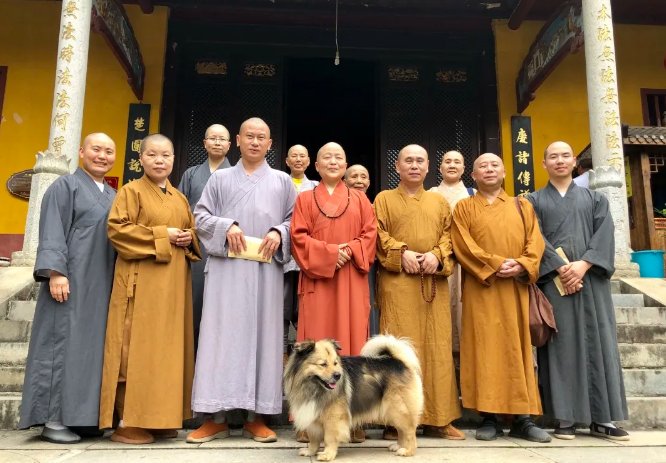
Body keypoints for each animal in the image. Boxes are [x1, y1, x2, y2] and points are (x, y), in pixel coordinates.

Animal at [283, 335, 424, 461]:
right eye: (323, 364)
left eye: (335, 363)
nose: (338, 375)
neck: (312, 387)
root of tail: (399, 361)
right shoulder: (312, 415)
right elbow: (313, 439)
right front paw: (310, 451)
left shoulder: (333, 418)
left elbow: (329, 438)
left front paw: (327, 455)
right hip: (391, 411)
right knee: (401, 430)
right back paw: (399, 446)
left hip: (398, 409)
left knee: (410, 430)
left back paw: (407, 451)